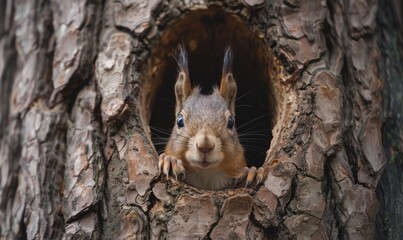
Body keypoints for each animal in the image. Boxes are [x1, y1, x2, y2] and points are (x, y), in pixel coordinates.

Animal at [159, 47, 266, 189]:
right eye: (179, 121)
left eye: (231, 122)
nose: (205, 145)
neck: (206, 174)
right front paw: (170, 161)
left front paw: (252, 172)